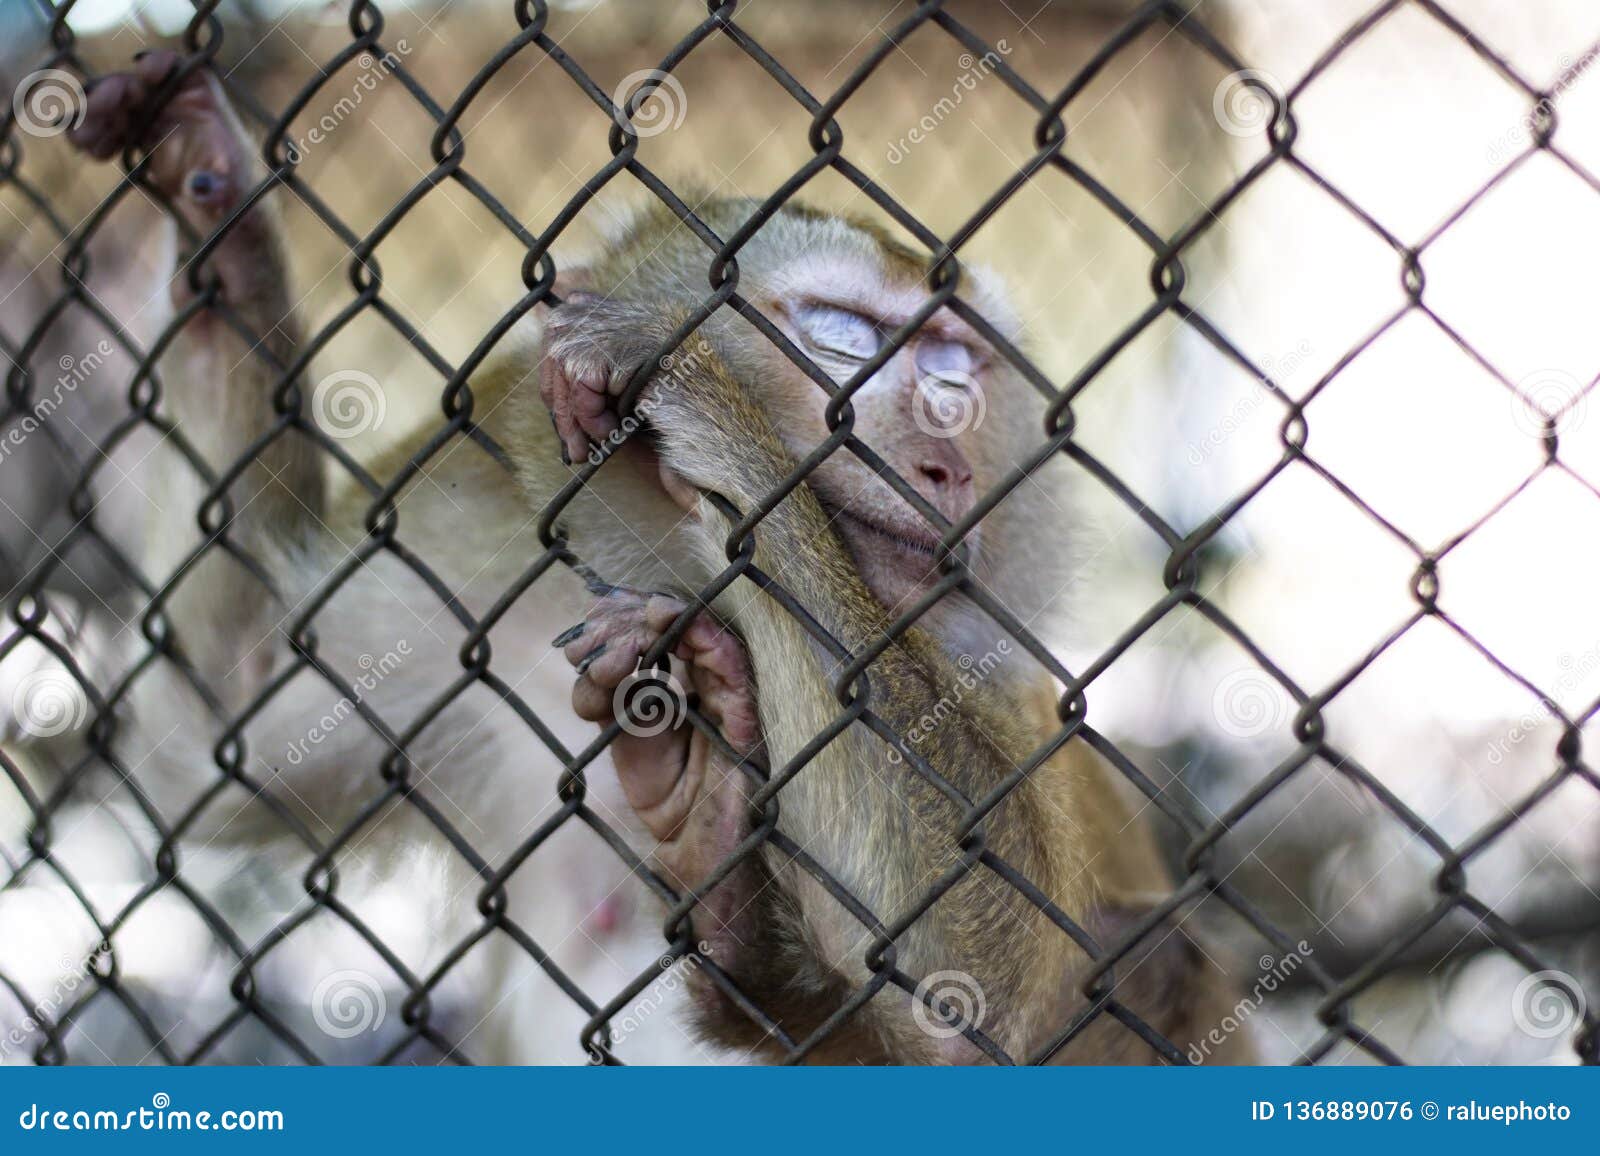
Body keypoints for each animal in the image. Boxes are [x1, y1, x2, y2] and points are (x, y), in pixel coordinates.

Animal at [1, 51, 1246, 1064]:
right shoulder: (473, 564)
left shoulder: (993, 671)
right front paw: (211, 197)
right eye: (844, 334)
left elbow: (980, 977)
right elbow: (211, 738)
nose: (946, 459)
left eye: (957, 367)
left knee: (1157, 964)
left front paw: (694, 386)